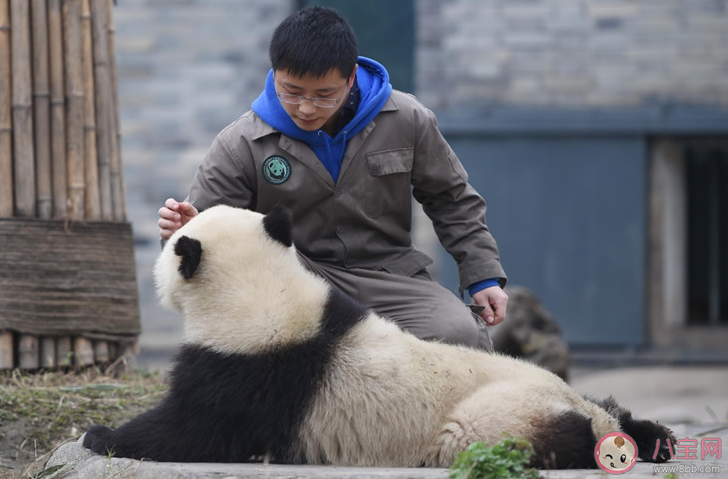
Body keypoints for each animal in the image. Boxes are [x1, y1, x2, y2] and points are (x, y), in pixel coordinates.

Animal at [84, 204, 676, 470]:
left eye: (167, 253)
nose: (156, 269)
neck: (263, 296)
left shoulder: (251, 370)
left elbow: (190, 430)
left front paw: (100, 434)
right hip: (547, 382)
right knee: (611, 408)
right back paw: (652, 436)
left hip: (489, 416)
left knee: (490, 435)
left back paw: (585, 440)